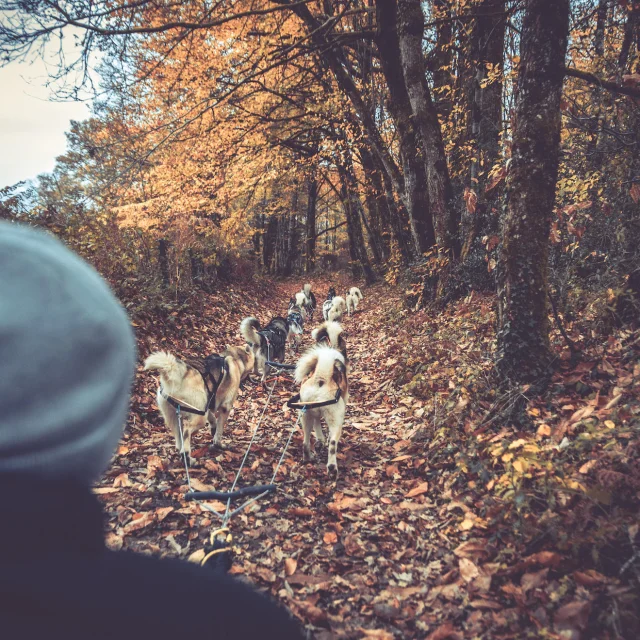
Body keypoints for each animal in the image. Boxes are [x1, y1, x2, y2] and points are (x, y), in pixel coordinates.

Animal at [296, 344, 350, 476]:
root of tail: (321, 379)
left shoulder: (315, 414)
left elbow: (317, 425)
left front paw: (320, 439)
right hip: (336, 421)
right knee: (332, 444)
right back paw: (332, 468)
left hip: (306, 417)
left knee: (305, 442)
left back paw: (308, 458)